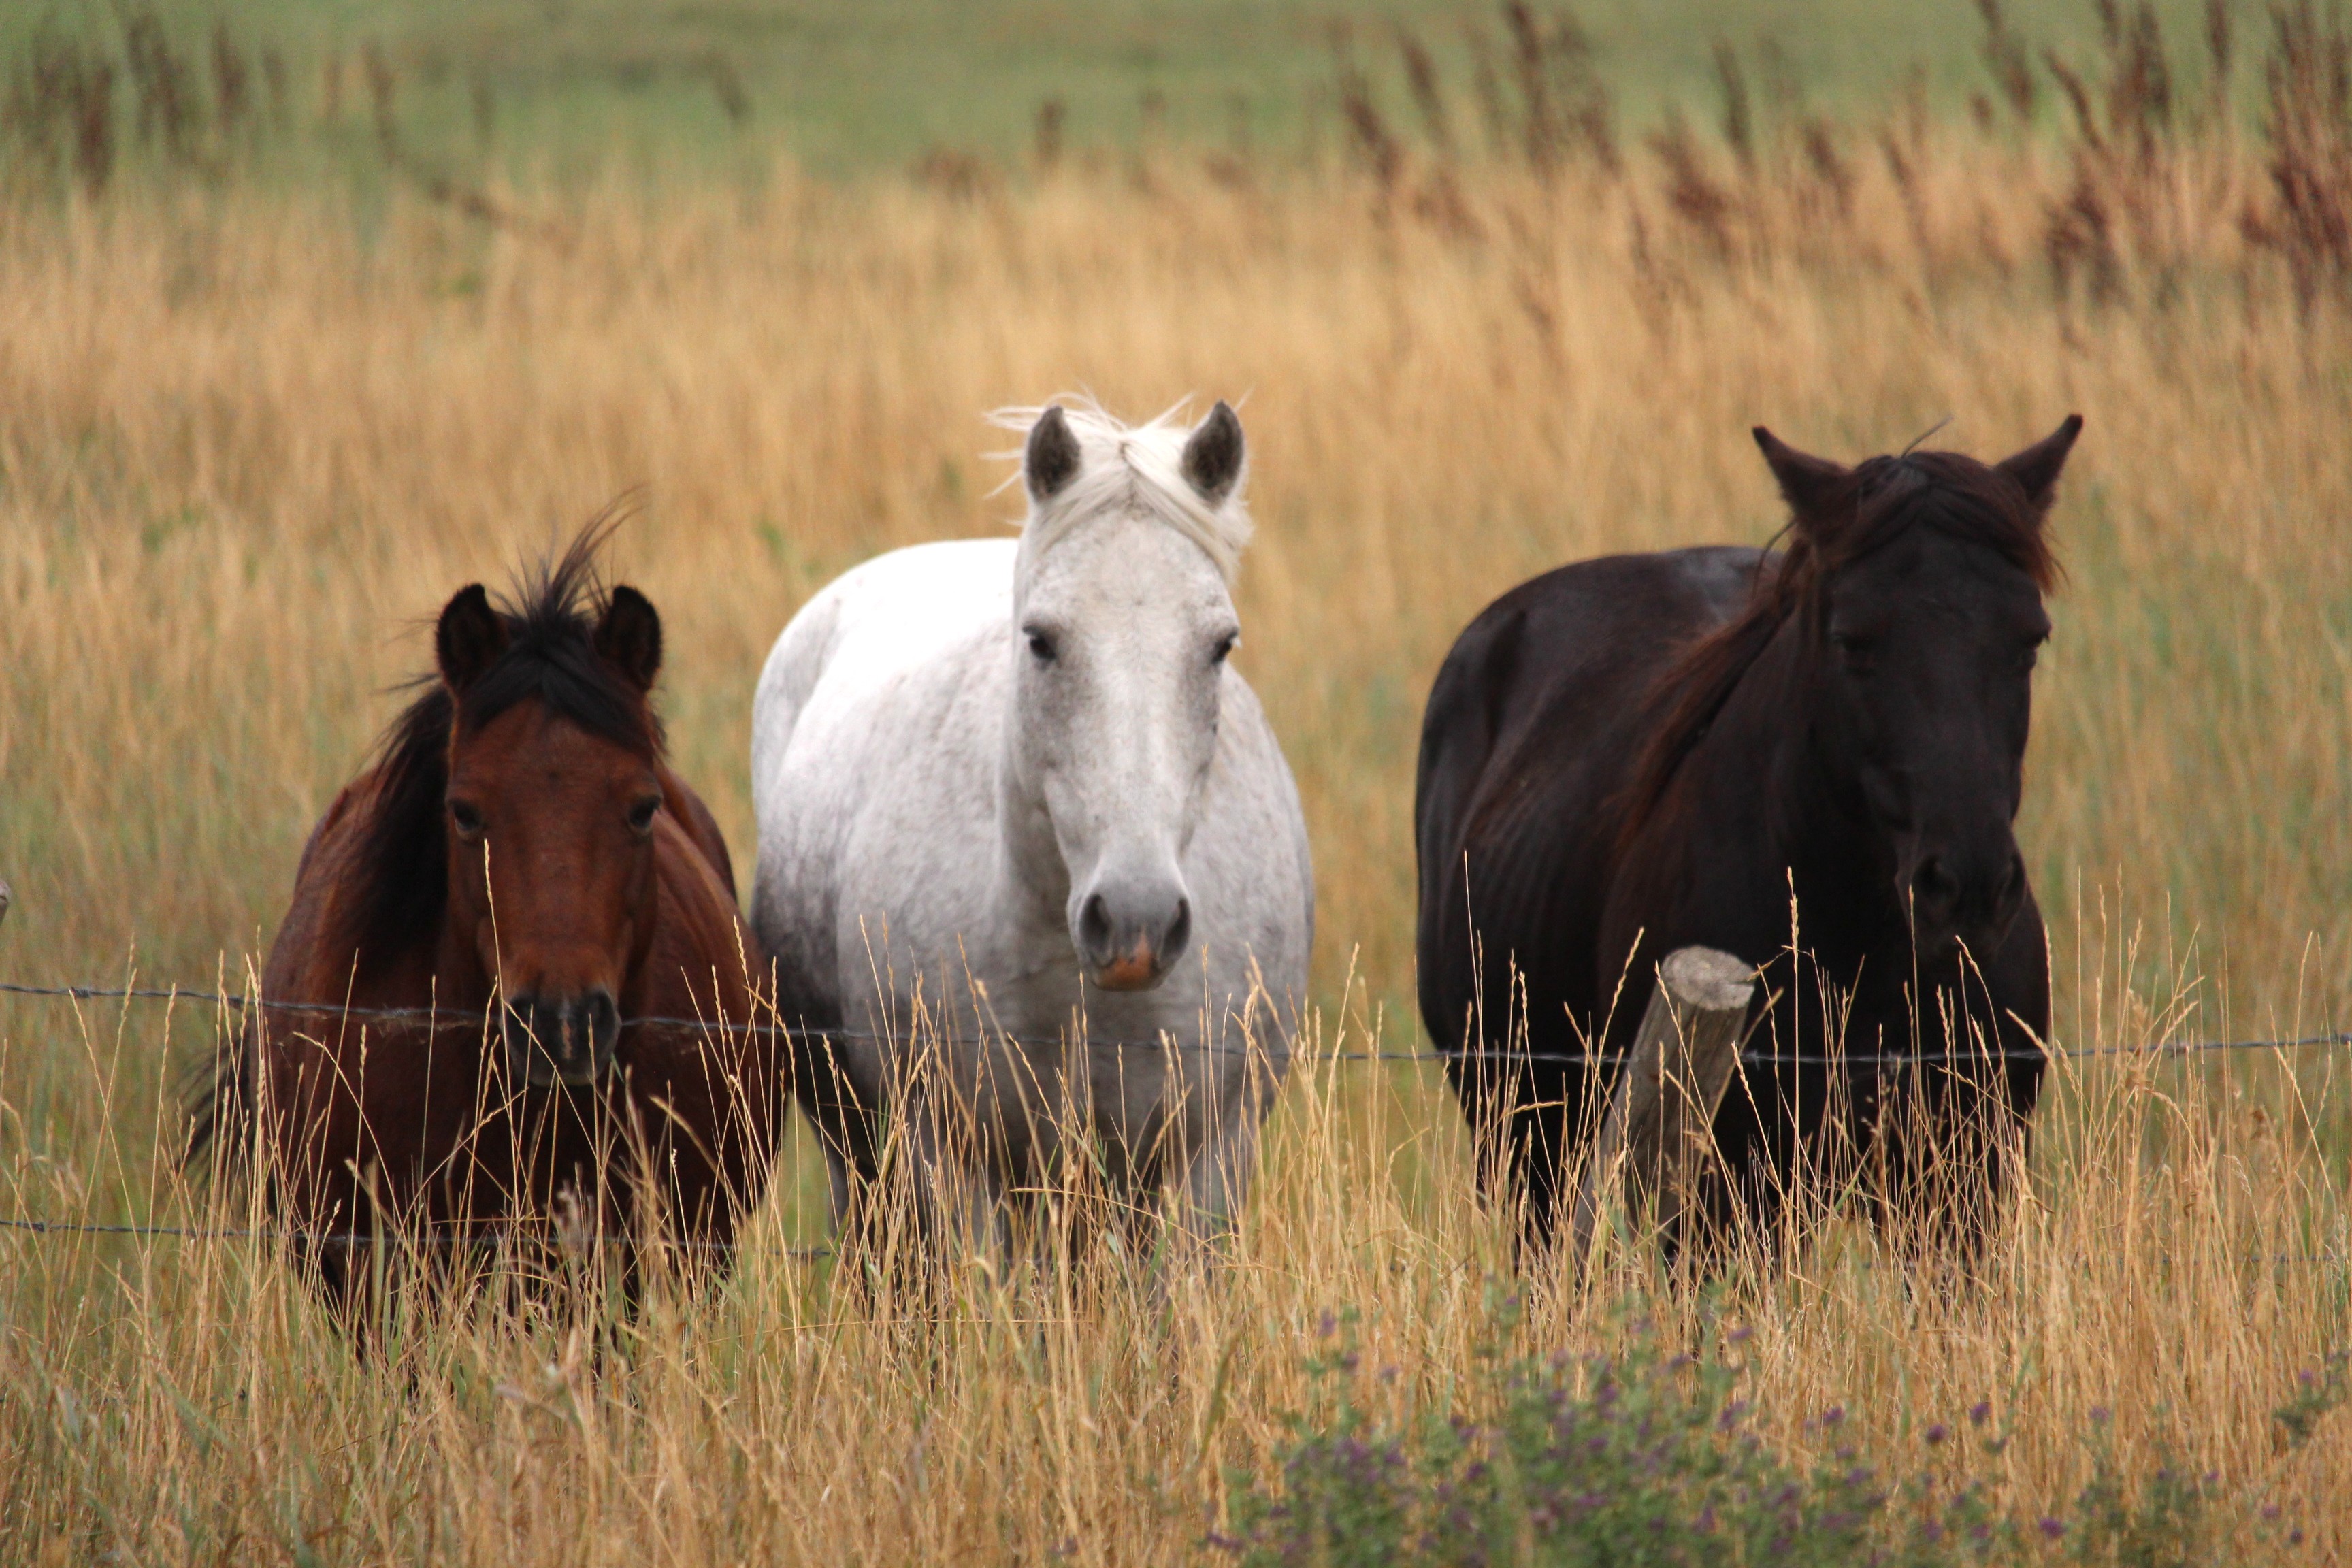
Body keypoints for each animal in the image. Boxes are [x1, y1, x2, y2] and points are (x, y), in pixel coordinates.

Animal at [749, 399, 1314, 1256]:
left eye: (1221, 644)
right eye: (1042, 640)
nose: (1138, 920)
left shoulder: (1211, 1158)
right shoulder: (952, 1162)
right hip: (860, 1153)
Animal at [1415, 416, 2082, 1257]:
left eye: (2031, 638)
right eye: (1853, 640)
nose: (1968, 888)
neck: (1863, 954)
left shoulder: (1960, 1193)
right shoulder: (1724, 1202)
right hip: (1529, 1151)